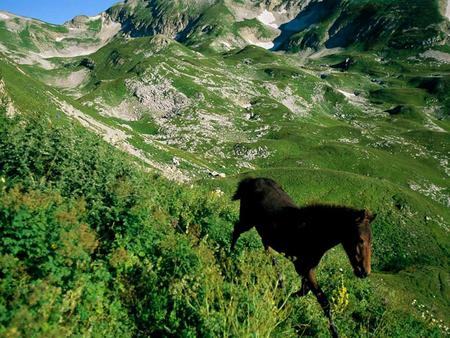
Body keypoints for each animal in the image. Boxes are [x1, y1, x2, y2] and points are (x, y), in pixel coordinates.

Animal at [230, 178, 374, 336]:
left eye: (371, 241)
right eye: (360, 240)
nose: (364, 272)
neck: (313, 232)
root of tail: (252, 180)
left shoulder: (307, 269)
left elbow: (305, 292)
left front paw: (284, 297)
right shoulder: (303, 268)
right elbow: (322, 300)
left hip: (264, 231)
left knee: (266, 248)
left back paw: (279, 280)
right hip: (247, 221)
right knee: (236, 230)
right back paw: (229, 257)